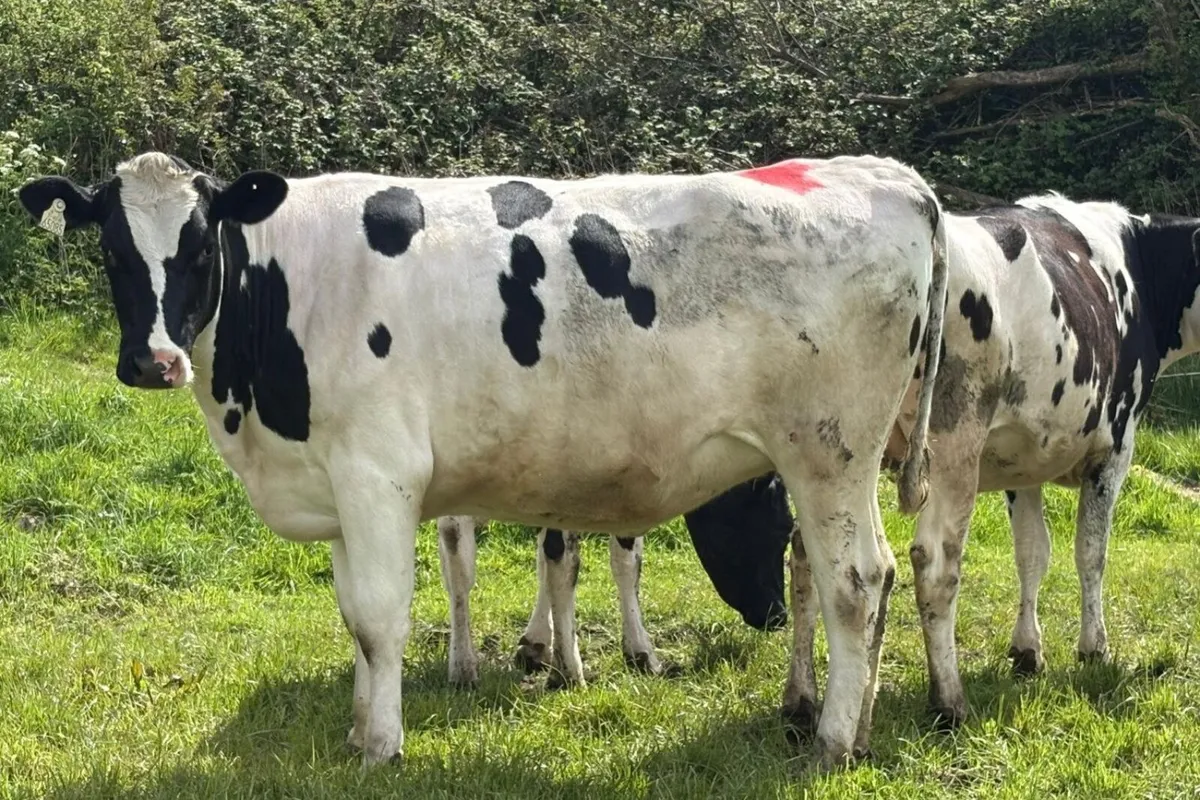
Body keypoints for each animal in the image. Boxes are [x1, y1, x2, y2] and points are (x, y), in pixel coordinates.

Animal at [687, 193, 1200, 730]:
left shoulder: (1025, 463)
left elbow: (1032, 554)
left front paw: (1027, 651)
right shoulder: (1114, 448)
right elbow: (1091, 554)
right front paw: (1093, 648)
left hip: (836, 452)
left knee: (811, 558)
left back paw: (801, 702)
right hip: (954, 440)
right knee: (934, 563)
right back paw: (947, 700)